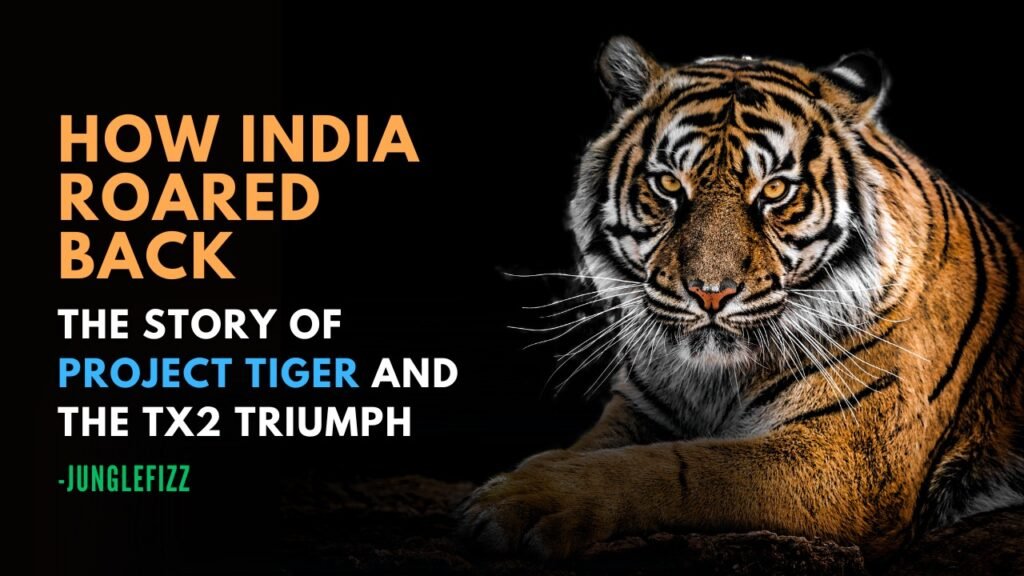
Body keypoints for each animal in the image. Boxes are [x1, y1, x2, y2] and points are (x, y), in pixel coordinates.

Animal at [458, 37, 1024, 560]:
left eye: (774, 191)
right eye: (668, 185)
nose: (711, 294)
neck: (712, 379)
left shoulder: (848, 458)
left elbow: (678, 467)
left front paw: (523, 499)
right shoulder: (637, 409)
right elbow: (592, 448)